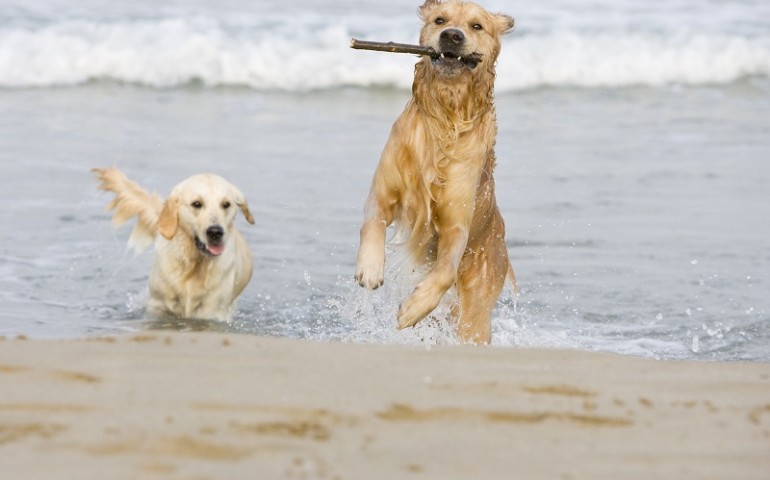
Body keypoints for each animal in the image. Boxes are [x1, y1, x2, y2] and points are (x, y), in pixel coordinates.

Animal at [94, 167, 255, 320]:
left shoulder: (213, 311)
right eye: (197, 204)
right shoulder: (157, 305)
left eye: (226, 204)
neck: (193, 265)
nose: (215, 232)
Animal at [354, 0, 516, 344]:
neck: (446, 115)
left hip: (476, 309)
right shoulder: (383, 192)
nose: (451, 36)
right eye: (440, 20)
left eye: (477, 26)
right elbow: (372, 223)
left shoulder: (457, 224)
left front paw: (414, 308)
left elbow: (444, 271)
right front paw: (370, 268)